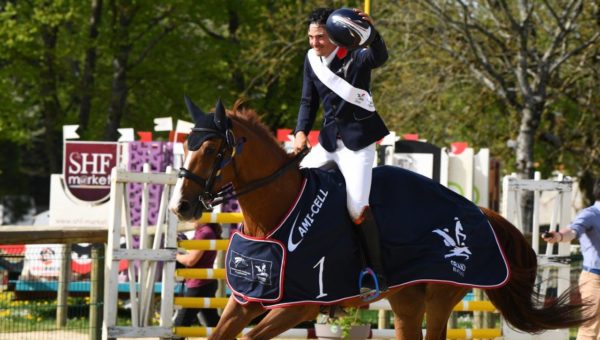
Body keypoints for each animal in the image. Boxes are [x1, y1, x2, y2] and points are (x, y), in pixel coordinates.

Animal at [168, 97, 584, 338]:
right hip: (407, 301)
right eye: (186, 146)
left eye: (211, 149)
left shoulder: (300, 306)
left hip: (440, 296)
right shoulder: (245, 300)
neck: (275, 213)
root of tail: (479, 211)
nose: (180, 207)